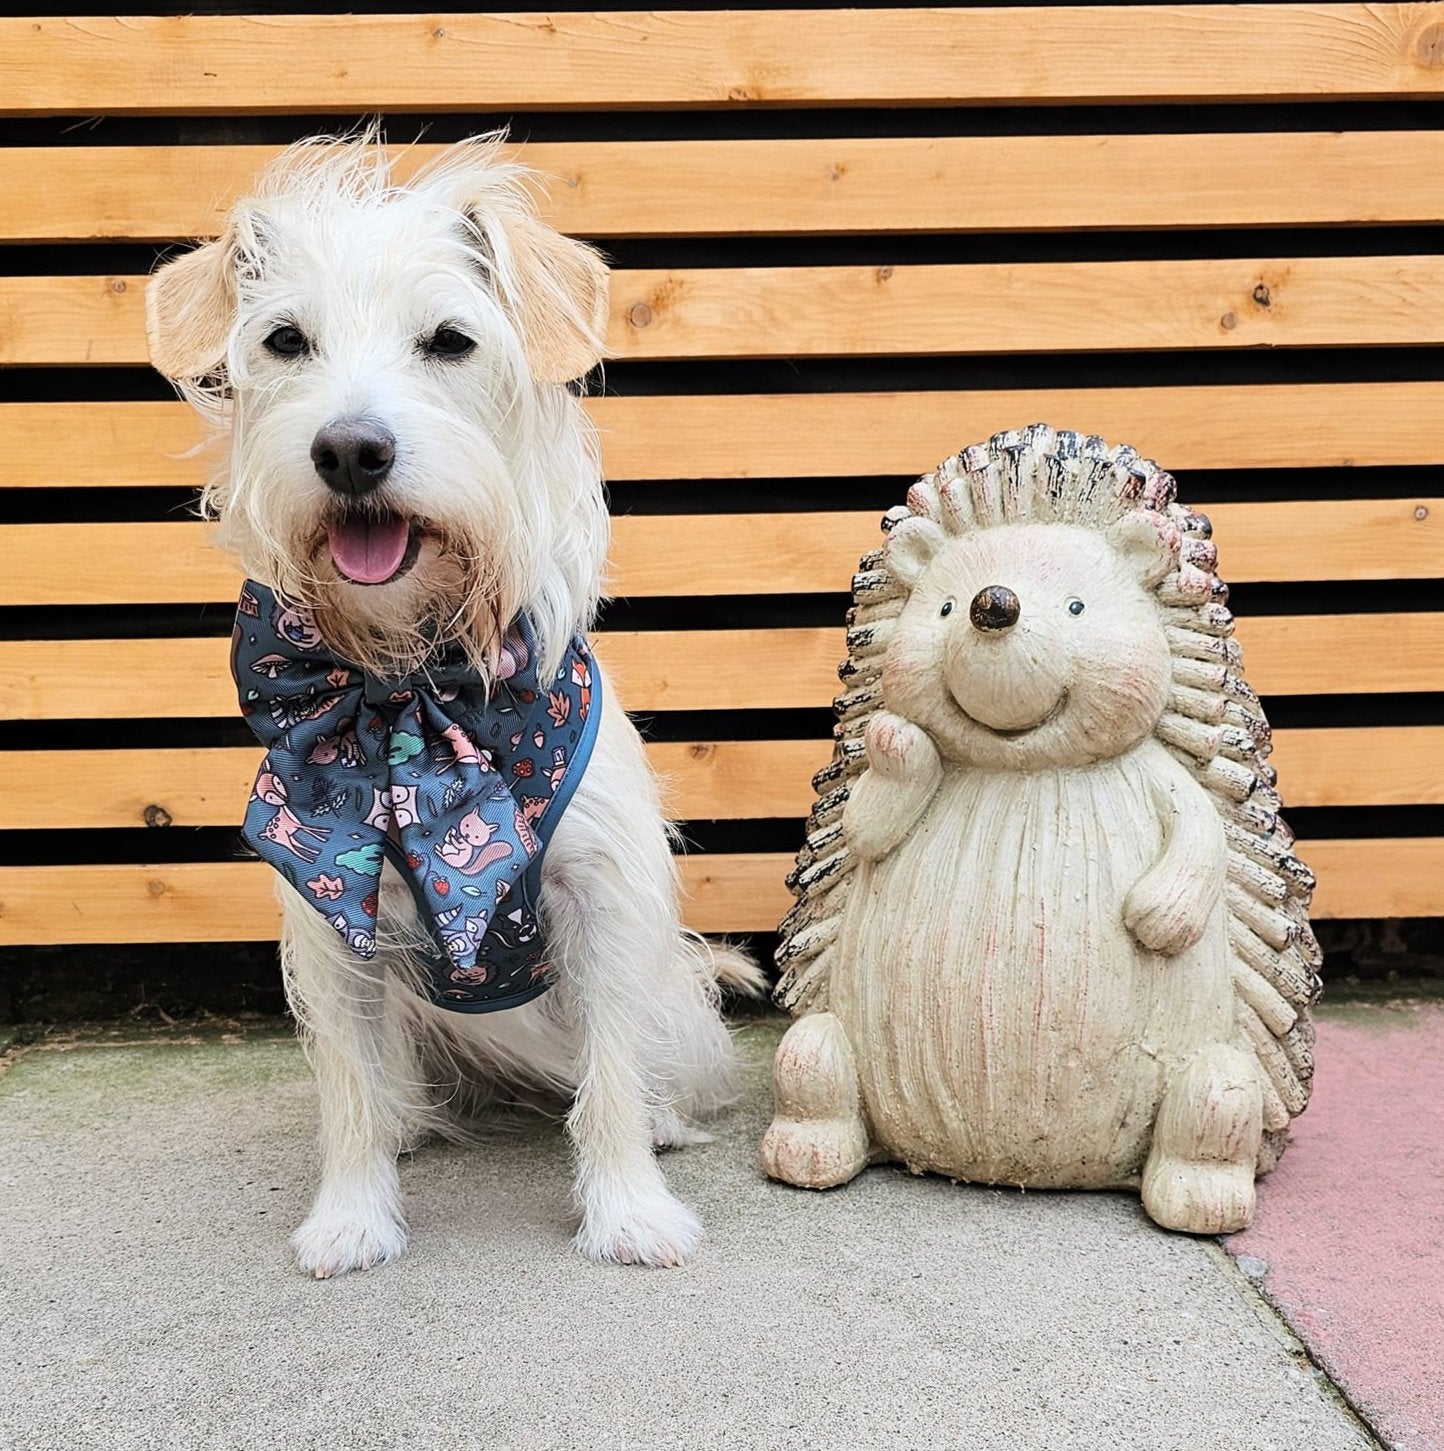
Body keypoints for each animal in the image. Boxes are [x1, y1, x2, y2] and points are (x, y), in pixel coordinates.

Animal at [142, 133, 760, 1271]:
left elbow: (611, 1075)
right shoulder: (332, 918)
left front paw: (628, 1210)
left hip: (673, 997)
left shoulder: (602, 900)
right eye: (285, 340)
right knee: (392, 1079)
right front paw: (351, 1214)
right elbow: (347, 1086)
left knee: (641, 1061)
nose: (350, 449)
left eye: (450, 340)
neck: (405, 690)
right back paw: (408, 1124)